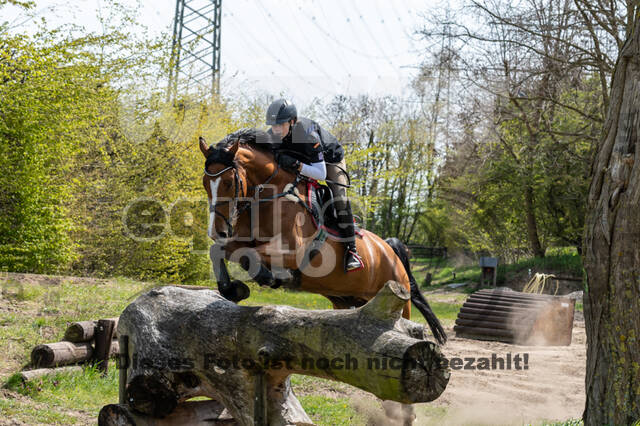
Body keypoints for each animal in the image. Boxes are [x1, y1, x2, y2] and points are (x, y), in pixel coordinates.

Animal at [199, 128, 444, 344]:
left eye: (229, 182)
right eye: (205, 184)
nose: (217, 231)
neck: (268, 197)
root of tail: (390, 249)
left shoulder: (293, 252)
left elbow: (249, 256)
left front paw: (269, 277)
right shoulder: (241, 241)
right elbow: (221, 251)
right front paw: (233, 290)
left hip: (399, 301)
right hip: (347, 300)